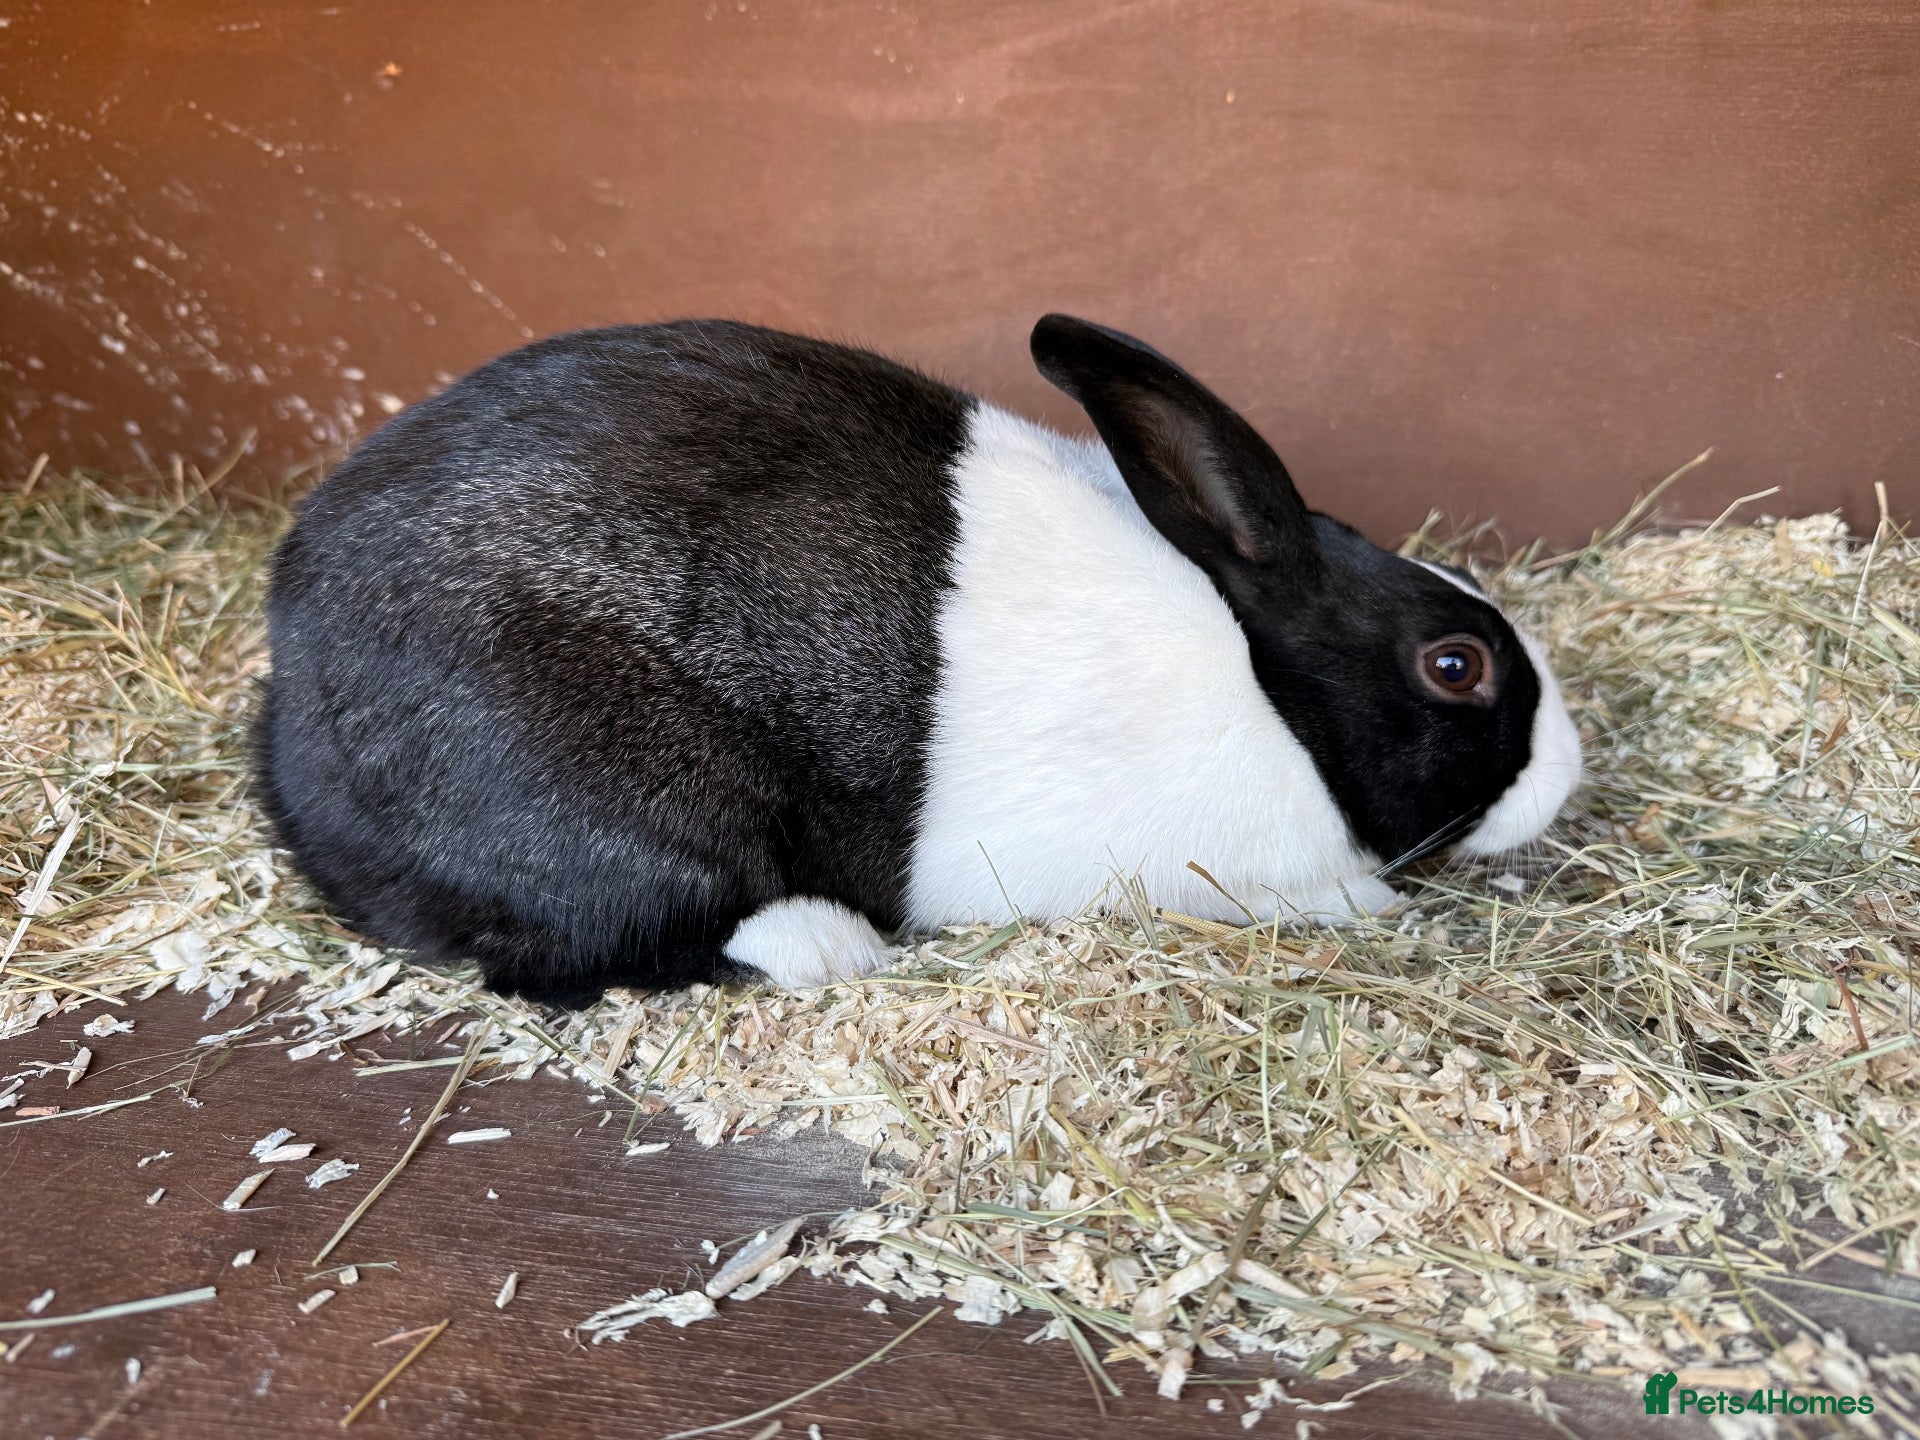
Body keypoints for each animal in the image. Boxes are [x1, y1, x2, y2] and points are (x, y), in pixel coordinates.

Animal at [255, 315, 1582, 1005]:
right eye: (1455, 668)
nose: (1569, 771)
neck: (1268, 686)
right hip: (622, 802)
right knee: (588, 949)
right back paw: (826, 942)